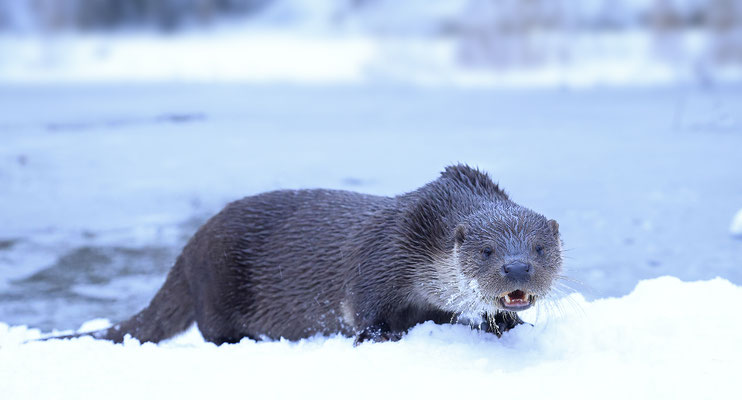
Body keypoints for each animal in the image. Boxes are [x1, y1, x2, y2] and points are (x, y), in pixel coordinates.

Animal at [53, 164, 562, 345]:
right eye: (487, 250)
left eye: (540, 248)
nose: (518, 267)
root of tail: (189, 247)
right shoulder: (380, 261)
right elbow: (363, 309)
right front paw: (380, 337)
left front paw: (505, 324)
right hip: (216, 277)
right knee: (210, 329)